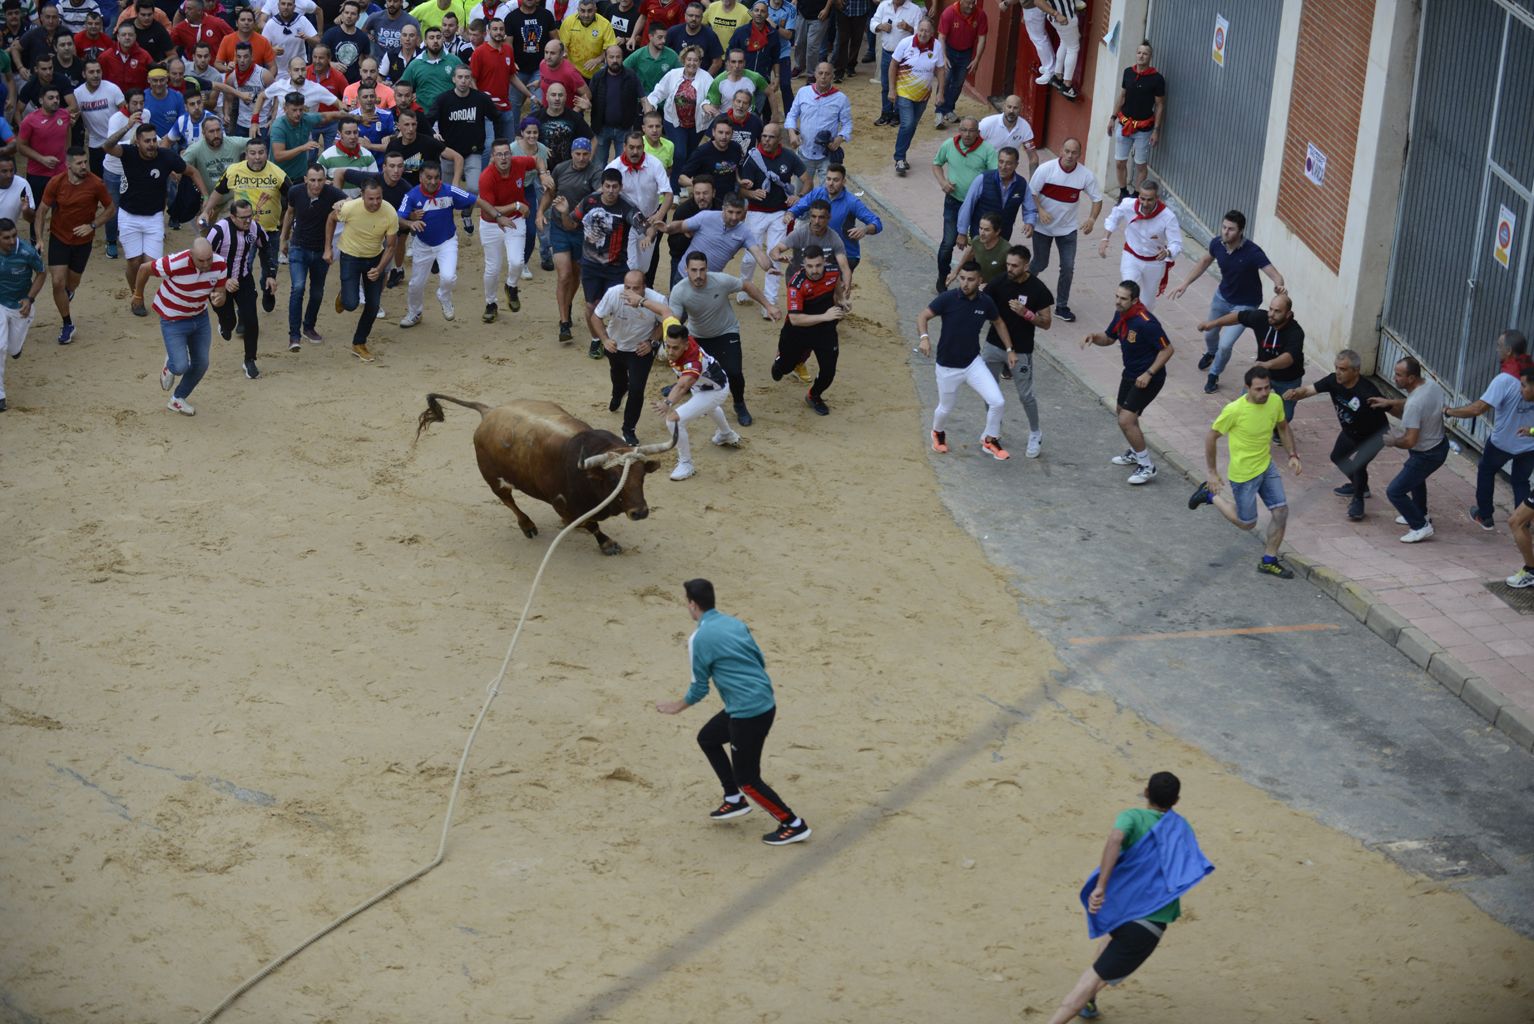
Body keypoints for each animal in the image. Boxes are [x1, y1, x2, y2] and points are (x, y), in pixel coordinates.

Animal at [417, 395, 674, 554]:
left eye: (642, 476)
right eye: (613, 480)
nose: (640, 512)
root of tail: (489, 412)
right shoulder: (563, 505)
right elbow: (592, 525)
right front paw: (607, 544)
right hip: (494, 480)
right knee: (508, 500)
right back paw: (527, 525)